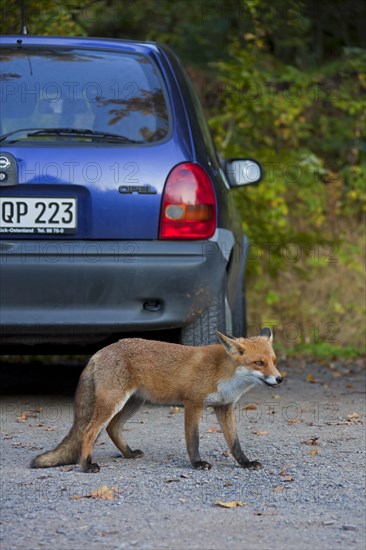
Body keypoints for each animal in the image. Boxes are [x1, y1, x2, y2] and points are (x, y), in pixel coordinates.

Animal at [32, 328, 284, 474]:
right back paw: (86, 465)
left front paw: (245, 463)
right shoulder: (192, 403)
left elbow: (235, 443)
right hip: (114, 402)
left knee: (112, 428)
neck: (224, 373)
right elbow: (194, 439)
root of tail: (101, 351)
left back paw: (129, 454)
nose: (280, 378)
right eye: (259, 363)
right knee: (88, 431)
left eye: (273, 361)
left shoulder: (224, 407)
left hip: (133, 403)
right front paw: (197, 464)